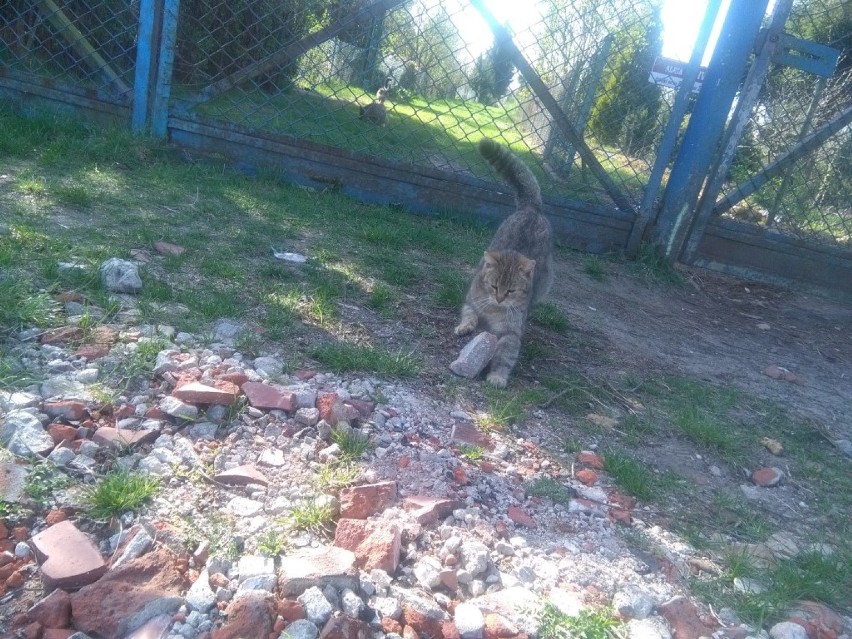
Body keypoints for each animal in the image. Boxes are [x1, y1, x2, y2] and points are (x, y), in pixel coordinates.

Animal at [452, 139, 552, 388]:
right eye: (494, 286)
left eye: (511, 291)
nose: (499, 298)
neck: (494, 310)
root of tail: (531, 208)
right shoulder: (470, 302)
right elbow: (469, 315)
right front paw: (465, 327)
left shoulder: (510, 334)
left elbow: (505, 356)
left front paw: (497, 376)